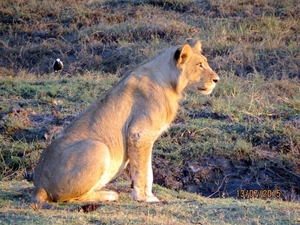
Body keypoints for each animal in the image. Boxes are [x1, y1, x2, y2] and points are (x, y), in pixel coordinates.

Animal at [32, 39, 220, 206]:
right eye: (199, 65)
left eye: (205, 63)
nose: (216, 80)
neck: (170, 83)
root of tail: (39, 186)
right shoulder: (140, 133)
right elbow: (142, 171)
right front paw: (143, 198)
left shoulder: (145, 137)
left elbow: (148, 170)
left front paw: (148, 195)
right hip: (98, 147)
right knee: (68, 198)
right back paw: (109, 194)